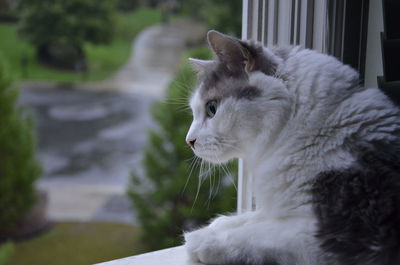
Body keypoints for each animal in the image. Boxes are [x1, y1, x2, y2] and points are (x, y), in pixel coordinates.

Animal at [183, 29, 400, 264]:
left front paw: (202, 240)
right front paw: (217, 225)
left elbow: (263, 233)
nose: (189, 141)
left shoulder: (340, 232)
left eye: (212, 108)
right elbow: (256, 217)